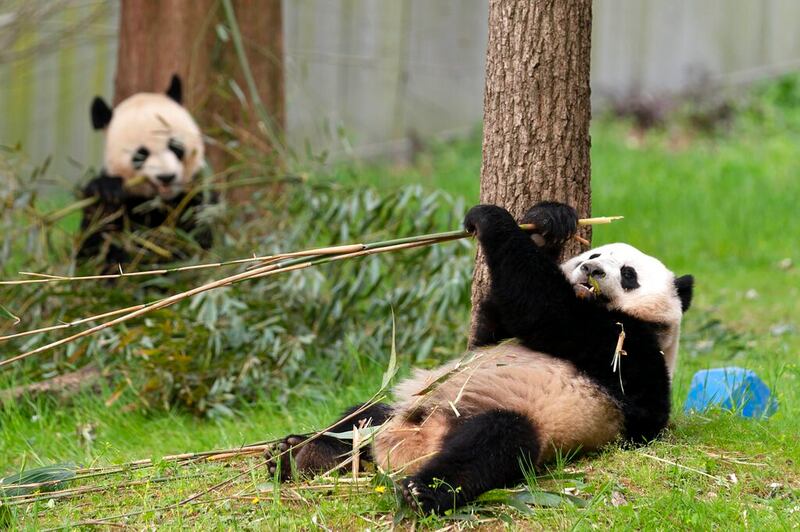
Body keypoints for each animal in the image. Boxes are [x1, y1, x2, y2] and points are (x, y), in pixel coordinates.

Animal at [77, 75, 217, 266]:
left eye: (175, 146)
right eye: (140, 155)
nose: (166, 177)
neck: (159, 202)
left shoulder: (197, 192)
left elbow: (197, 236)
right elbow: (94, 243)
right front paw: (107, 192)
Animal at [266, 202, 692, 512]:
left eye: (629, 274)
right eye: (595, 252)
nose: (591, 268)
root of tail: (403, 451)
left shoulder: (626, 346)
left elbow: (545, 308)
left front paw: (491, 218)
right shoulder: (499, 335)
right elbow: (489, 330)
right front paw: (549, 219)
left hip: (524, 421)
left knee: (491, 444)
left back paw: (421, 491)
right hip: (399, 414)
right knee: (360, 419)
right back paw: (297, 454)